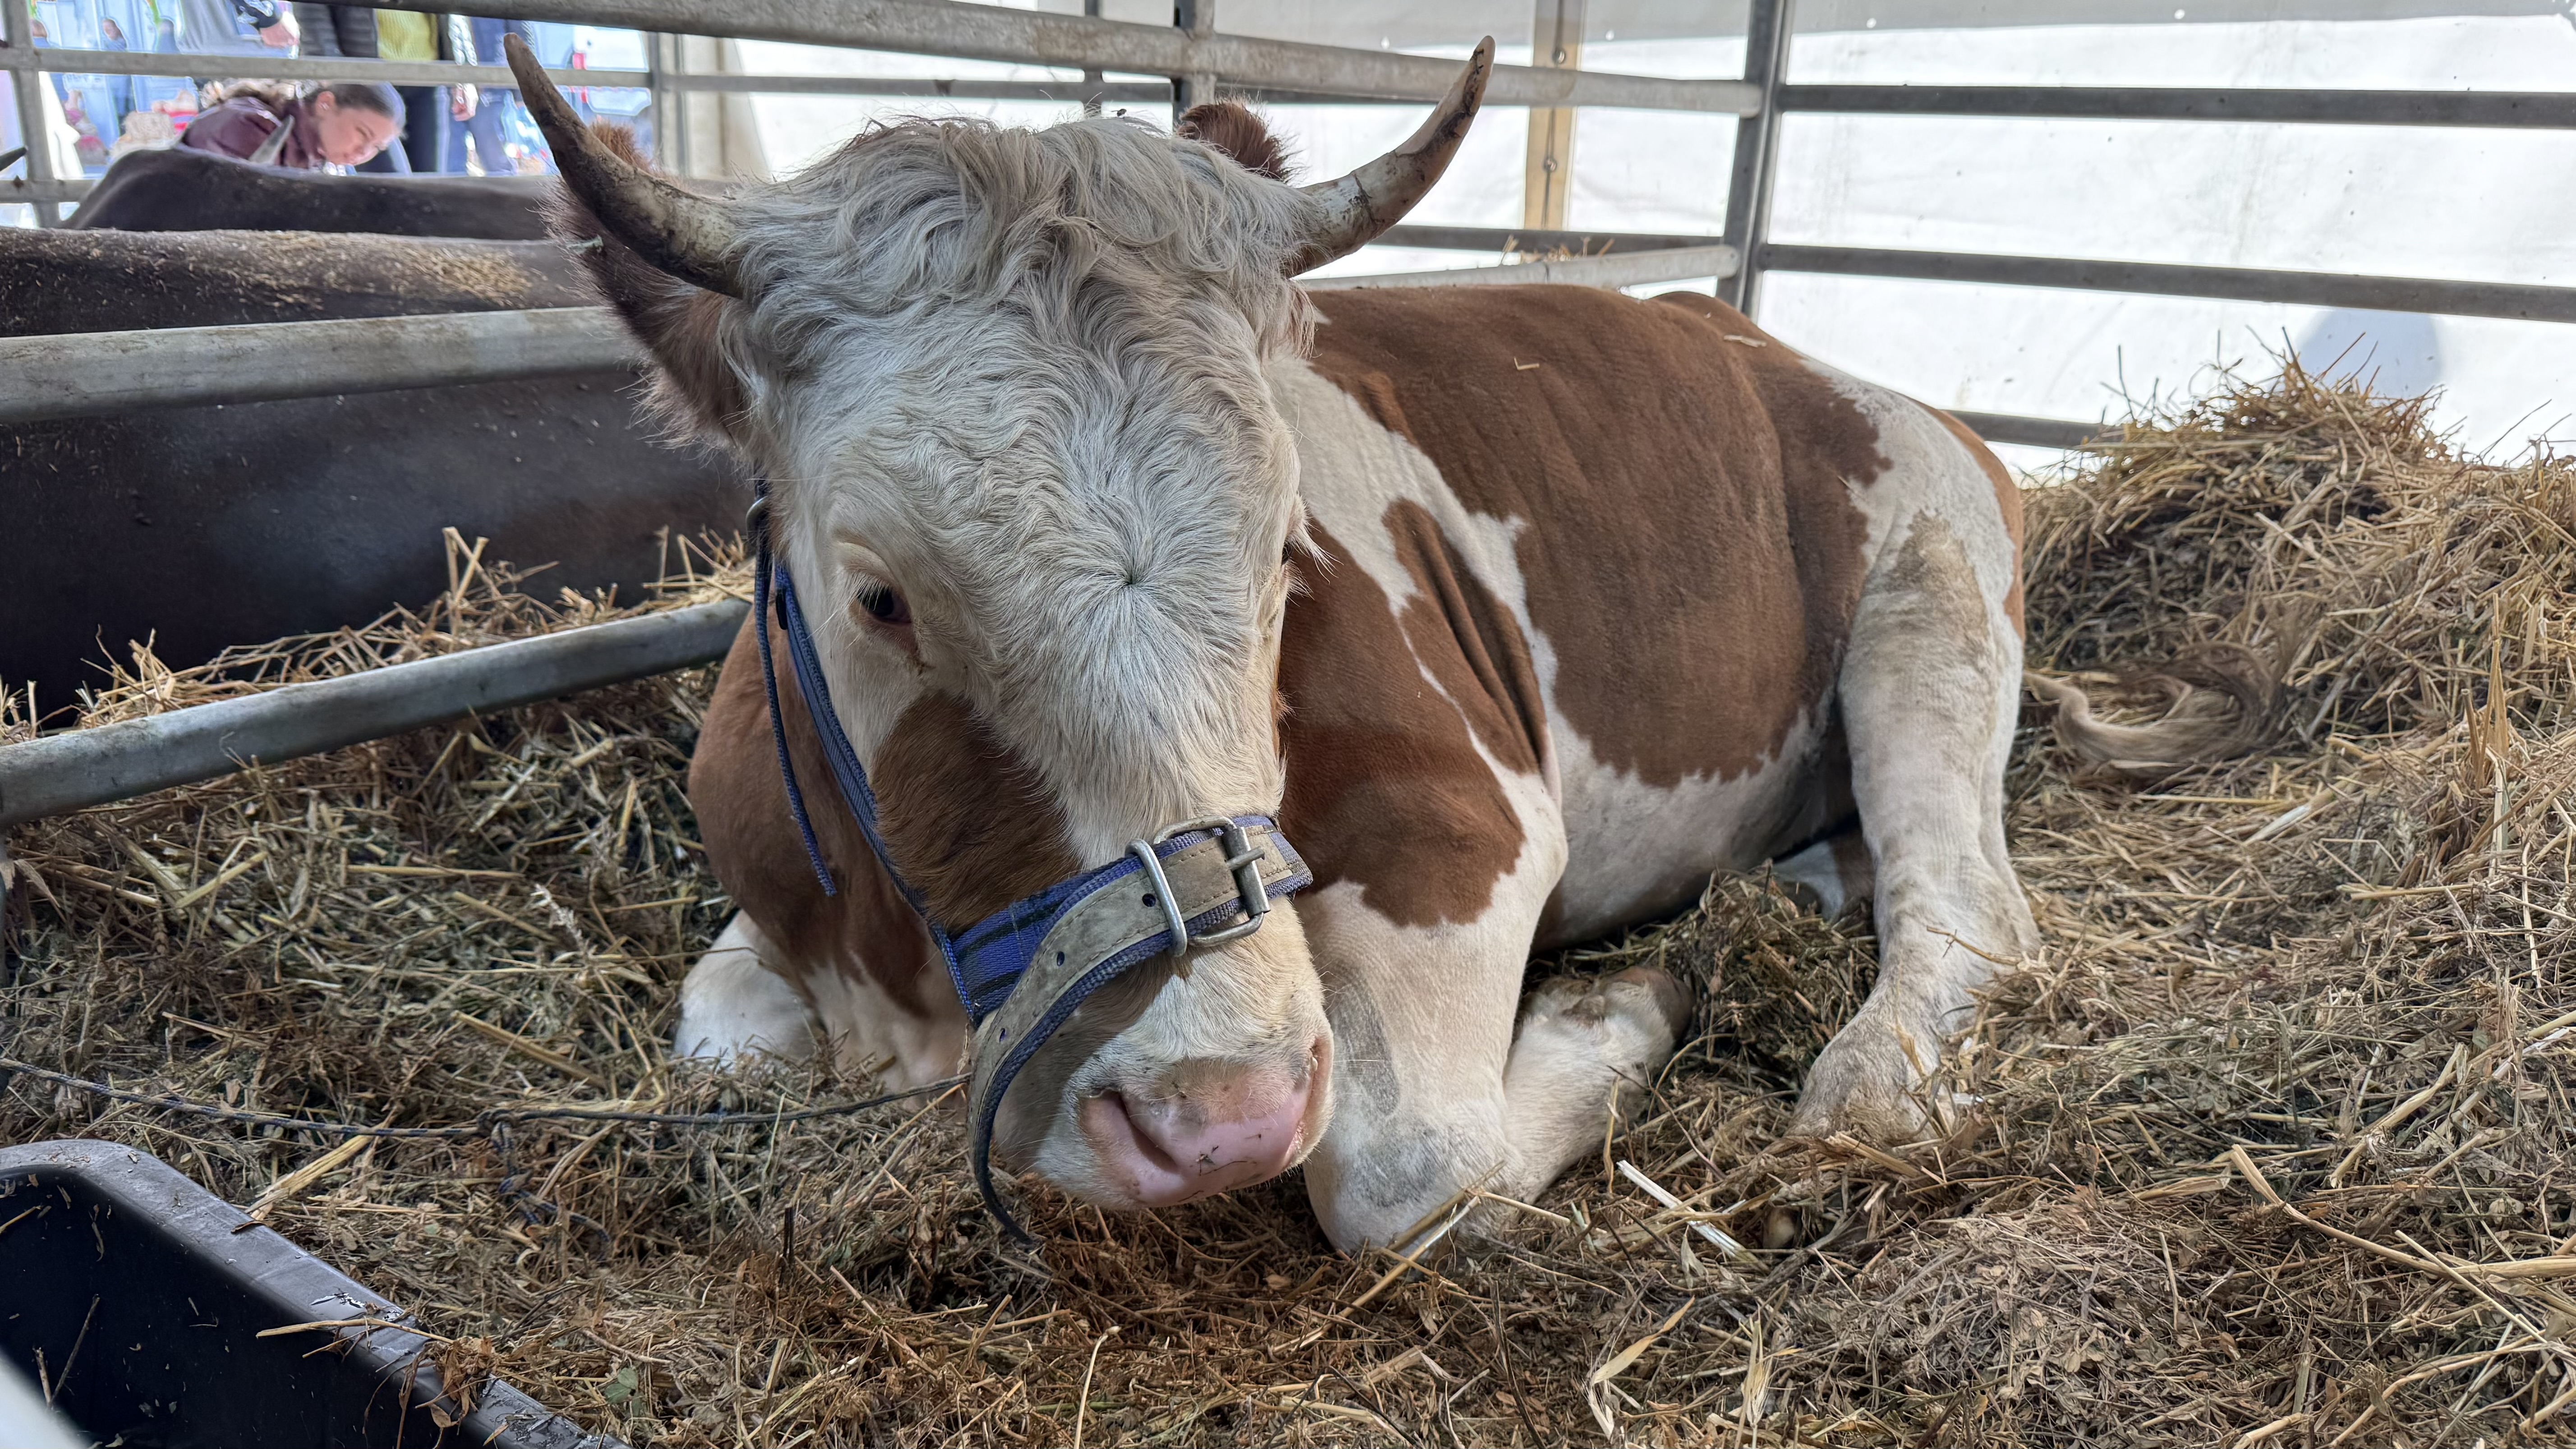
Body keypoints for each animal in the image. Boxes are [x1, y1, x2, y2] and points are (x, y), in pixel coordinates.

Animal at [504, 35, 2041, 1249]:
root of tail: (1779, 351)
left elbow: (1406, 1178)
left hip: (1932, 600)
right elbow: (720, 1035)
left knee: (1972, 902)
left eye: (1289, 551)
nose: (1216, 1117)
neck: (906, 985)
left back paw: (1868, 1081)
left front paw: (1620, 1009)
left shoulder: (1466, 825)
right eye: (880, 596)